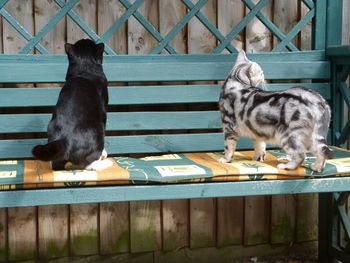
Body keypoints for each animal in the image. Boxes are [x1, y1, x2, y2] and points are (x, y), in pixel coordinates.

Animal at [32, 39, 112, 171]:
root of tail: (65, 140)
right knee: (88, 164)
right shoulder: (104, 111)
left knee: (56, 165)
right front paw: (104, 154)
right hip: (98, 129)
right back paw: (104, 162)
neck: (84, 70)